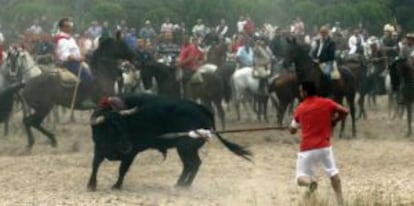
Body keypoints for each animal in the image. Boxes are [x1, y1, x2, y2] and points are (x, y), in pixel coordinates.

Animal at [87, 94, 252, 191]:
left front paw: (116, 185)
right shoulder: (98, 148)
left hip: (185, 148)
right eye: (110, 129)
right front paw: (91, 184)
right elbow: (95, 164)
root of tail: (201, 108)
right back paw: (181, 184)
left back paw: (183, 185)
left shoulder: (131, 153)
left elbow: (122, 169)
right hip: (186, 149)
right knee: (191, 164)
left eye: (124, 125)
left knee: (193, 164)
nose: (127, 146)